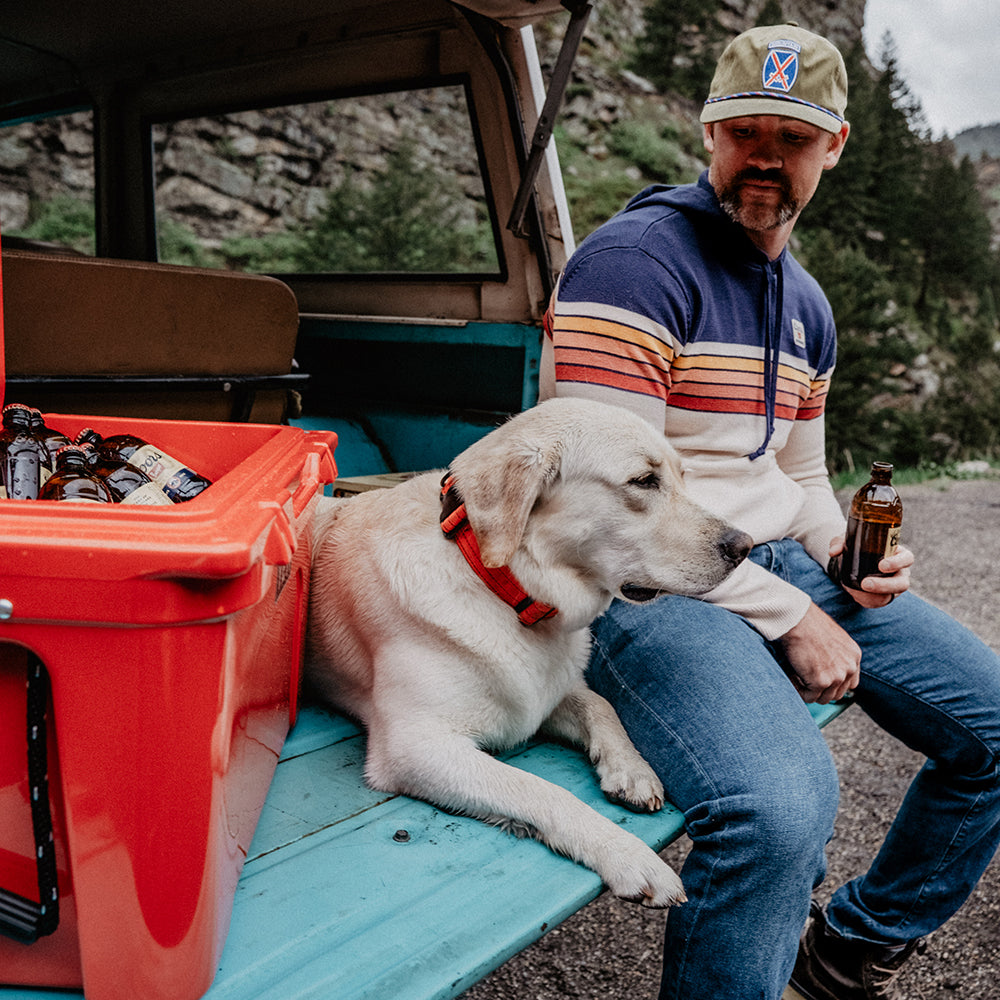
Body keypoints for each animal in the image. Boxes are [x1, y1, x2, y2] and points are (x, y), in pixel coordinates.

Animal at [304, 396, 752, 908]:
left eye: (682, 476)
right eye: (643, 481)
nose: (744, 546)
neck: (501, 584)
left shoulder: (546, 694)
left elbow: (600, 704)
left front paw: (632, 770)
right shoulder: (415, 746)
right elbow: (543, 790)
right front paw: (628, 855)